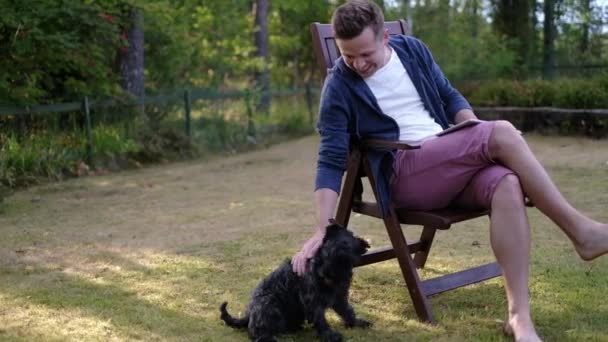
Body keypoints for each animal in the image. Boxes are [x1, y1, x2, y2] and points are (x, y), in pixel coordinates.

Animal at [218, 223, 370, 340]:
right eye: (326, 251)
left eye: (346, 252)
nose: (323, 272)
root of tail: (249, 315)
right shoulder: (312, 301)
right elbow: (321, 319)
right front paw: (329, 335)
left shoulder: (339, 297)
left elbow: (347, 311)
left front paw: (356, 322)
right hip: (269, 304)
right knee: (255, 332)